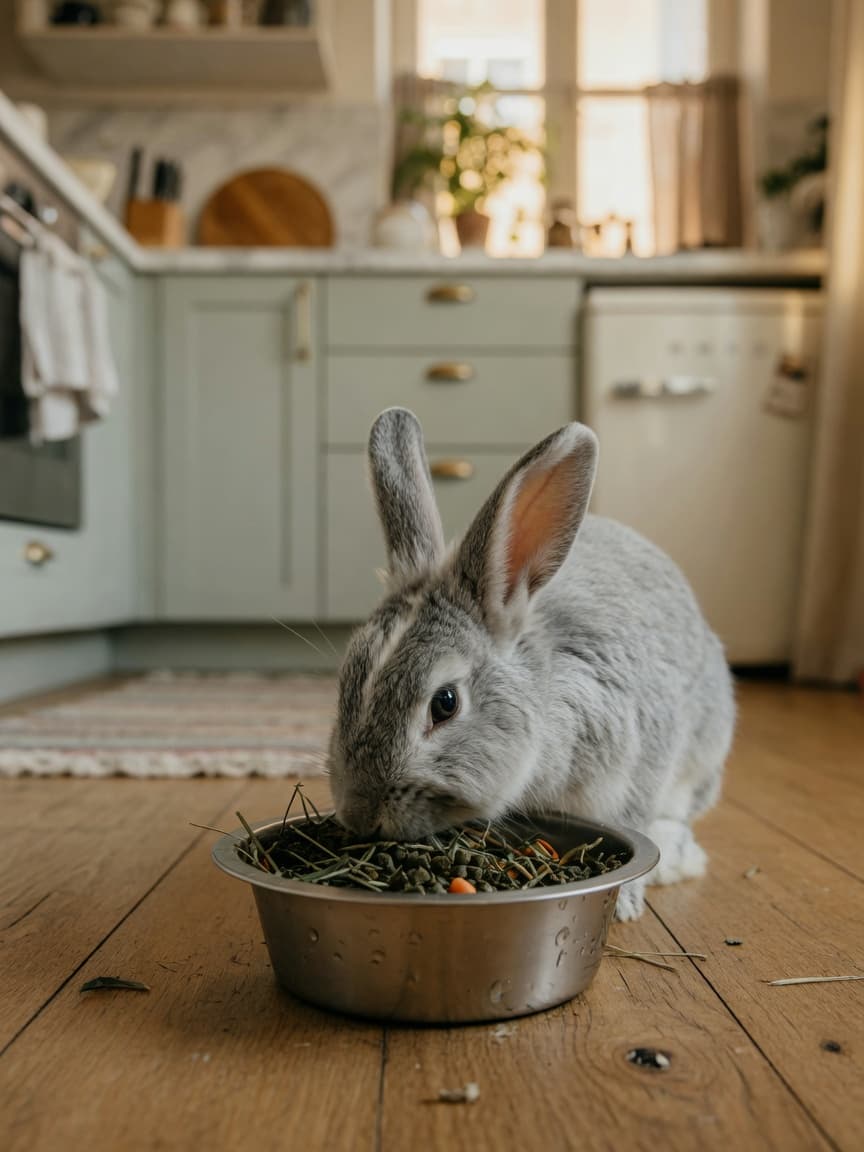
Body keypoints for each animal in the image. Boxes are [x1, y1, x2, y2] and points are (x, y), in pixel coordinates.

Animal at [327, 408, 735, 920]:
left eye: (445, 703)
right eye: (344, 683)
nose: (359, 814)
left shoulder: (637, 766)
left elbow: (637, 820)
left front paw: (625, 906)